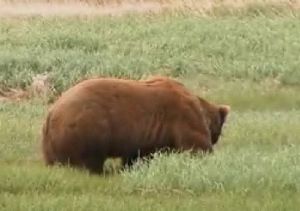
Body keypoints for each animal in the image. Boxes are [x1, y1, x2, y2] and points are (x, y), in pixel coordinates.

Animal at [41, 76, 230, 174]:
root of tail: (52, 113)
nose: (215, 139)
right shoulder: (183, 117)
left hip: (52, 145)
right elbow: (196, 145)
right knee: (89, 160)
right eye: (218, 132)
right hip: (87, 129)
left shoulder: (146, 138)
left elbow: (137, 156)